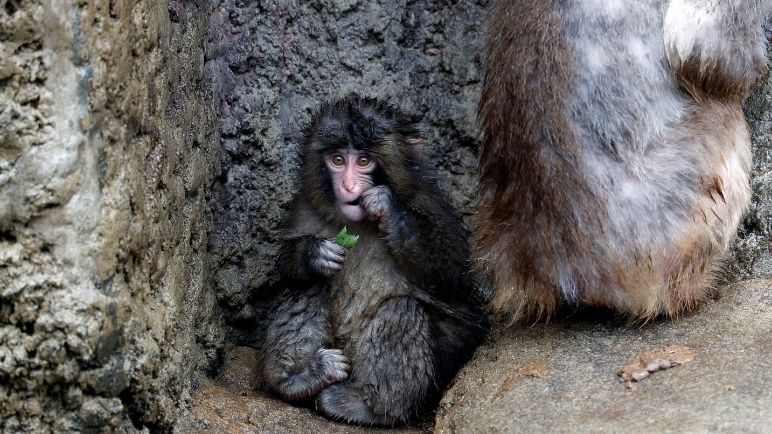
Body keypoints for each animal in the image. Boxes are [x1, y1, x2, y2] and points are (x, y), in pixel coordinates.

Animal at [261, 94, 488, 426]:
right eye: (338, 160)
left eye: (364, 161)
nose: (349, 187)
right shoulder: (305, 208)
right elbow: (285, 269)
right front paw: (313, 253)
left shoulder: (431, 206)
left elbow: (453, 278)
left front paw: (388, 208)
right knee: (308, 285)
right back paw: (300, 377)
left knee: (402, 309)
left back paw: (370, 407)